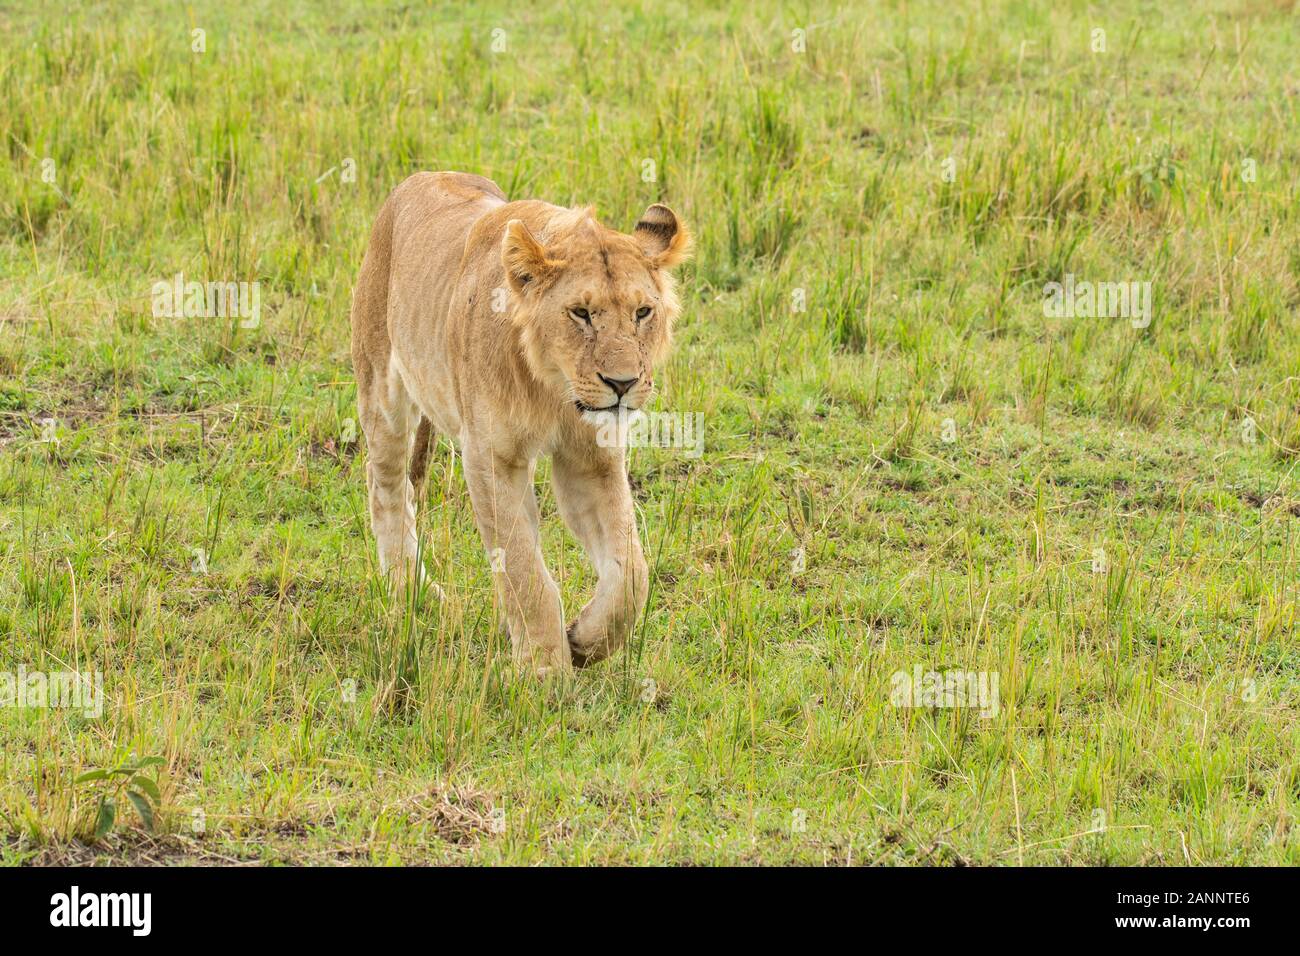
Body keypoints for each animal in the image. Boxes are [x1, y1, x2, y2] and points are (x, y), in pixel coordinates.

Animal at [350, 172, 691, 676]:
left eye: (642, 312)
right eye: (581, 313)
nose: (623, 383)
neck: (553, 389)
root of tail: (422, 176)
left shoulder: (591, 460)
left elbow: (631, 573)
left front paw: (584, 642)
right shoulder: (490, 457)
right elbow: (524, 570)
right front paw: (545, 669)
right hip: (381, 385)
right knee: (388, 487)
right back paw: (413, 592)